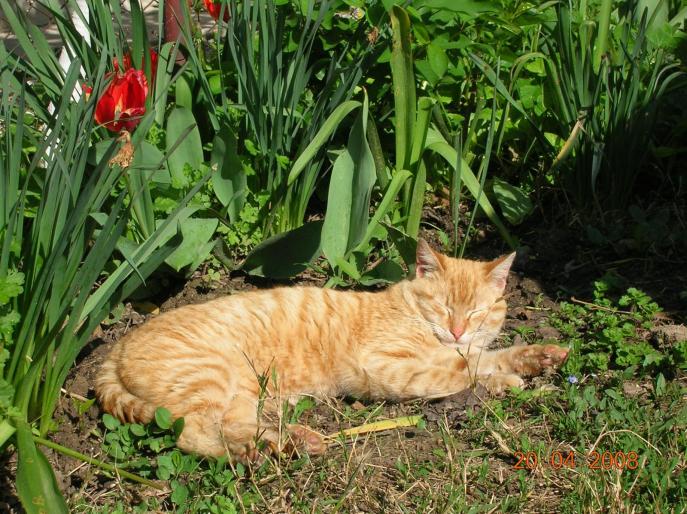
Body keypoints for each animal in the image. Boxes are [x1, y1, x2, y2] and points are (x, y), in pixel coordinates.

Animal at [97, 240, 568, 460]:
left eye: (476, 313)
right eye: (444, 307)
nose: (456, 330)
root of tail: (113, 351)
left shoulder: (455, 351)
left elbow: (482, 358)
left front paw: (538, 357)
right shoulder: (386, 366)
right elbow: (456, 372)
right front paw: (504, 381)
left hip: (242, 394)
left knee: (233, 425)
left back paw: (293, 441)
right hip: (210, 377)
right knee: (194, 434)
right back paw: (259, 452)